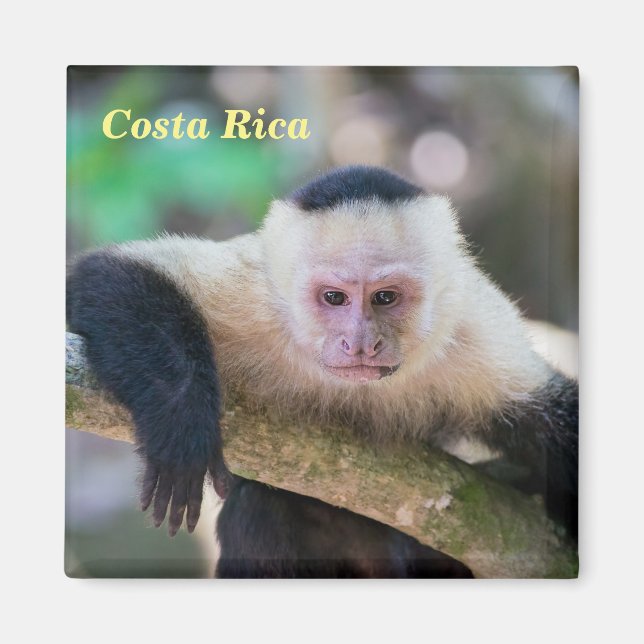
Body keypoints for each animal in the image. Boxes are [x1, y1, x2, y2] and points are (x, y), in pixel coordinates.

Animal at [66, 165, 578, 578]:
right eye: (335, 297)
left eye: (385, 297)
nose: (360, 344)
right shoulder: (258, 294)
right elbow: (103, 275)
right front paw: (182, 425)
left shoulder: (468, 326)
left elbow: (552, 415)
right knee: (263, 509)